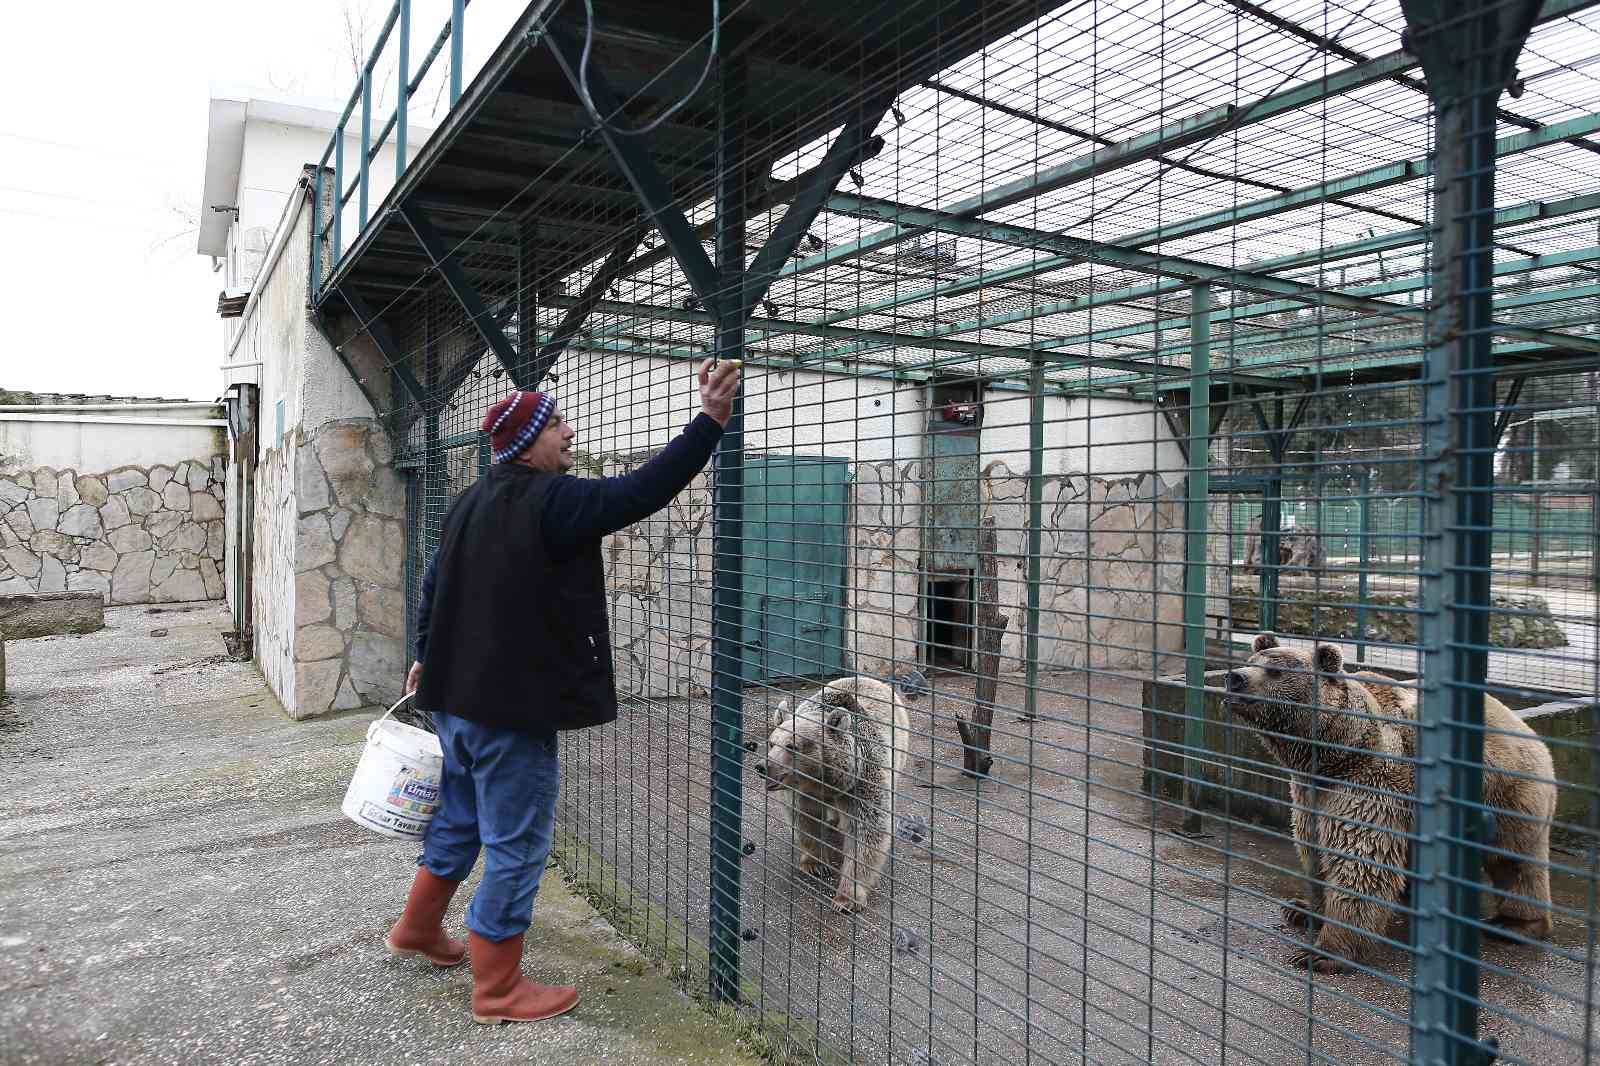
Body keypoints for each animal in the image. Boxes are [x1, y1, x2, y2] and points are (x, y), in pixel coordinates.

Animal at [1222, 630, 1548, 973]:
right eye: (1251, 660)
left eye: (1275, 670)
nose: (1235, 678)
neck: (1334, 752)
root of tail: (1528, 730)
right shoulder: (1310, 792)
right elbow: (1314, 849)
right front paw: (1301, 908)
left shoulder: (1371, 783)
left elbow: (1359, 862)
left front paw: (1322, 952)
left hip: (1509, 794)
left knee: (1514, 861)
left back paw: (1513, 923)